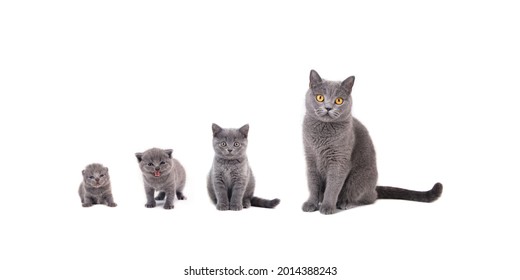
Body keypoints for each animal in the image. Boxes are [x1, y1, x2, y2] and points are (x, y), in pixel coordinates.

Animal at [300, 70, 442, 214]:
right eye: (320, 98)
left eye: (338, 100)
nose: (328, 108)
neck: (322, 134)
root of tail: (373, 187)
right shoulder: (310, 158)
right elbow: (312, 184)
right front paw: (311, 203)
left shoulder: (339, 161)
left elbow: (332, 186)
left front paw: (327, 206)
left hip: (357, 179)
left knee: (369, 198)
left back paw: (345, 203)